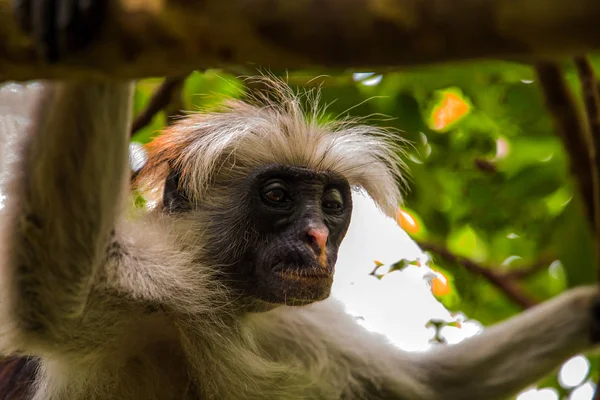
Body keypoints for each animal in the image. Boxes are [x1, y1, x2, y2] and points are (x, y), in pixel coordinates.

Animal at [1, 1, 600, 398]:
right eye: (276, 195)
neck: (227, 309)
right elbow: (48, 284)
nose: (315, 236)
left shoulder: (290, 322)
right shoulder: (152, 285)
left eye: (331, 204)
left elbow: (427, 385)